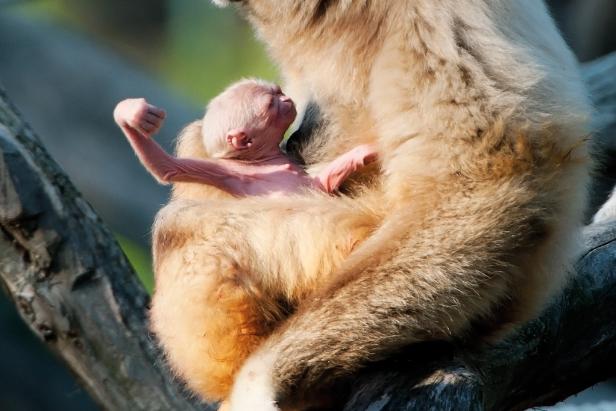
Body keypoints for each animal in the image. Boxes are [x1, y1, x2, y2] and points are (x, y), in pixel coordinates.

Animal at [113, 80, 378, 198]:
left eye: (278, 91)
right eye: (271, 104)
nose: (286, 100)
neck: (263, 161)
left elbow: (322, 181)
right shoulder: (230, 173)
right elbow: (167, 168)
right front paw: (132, 112)